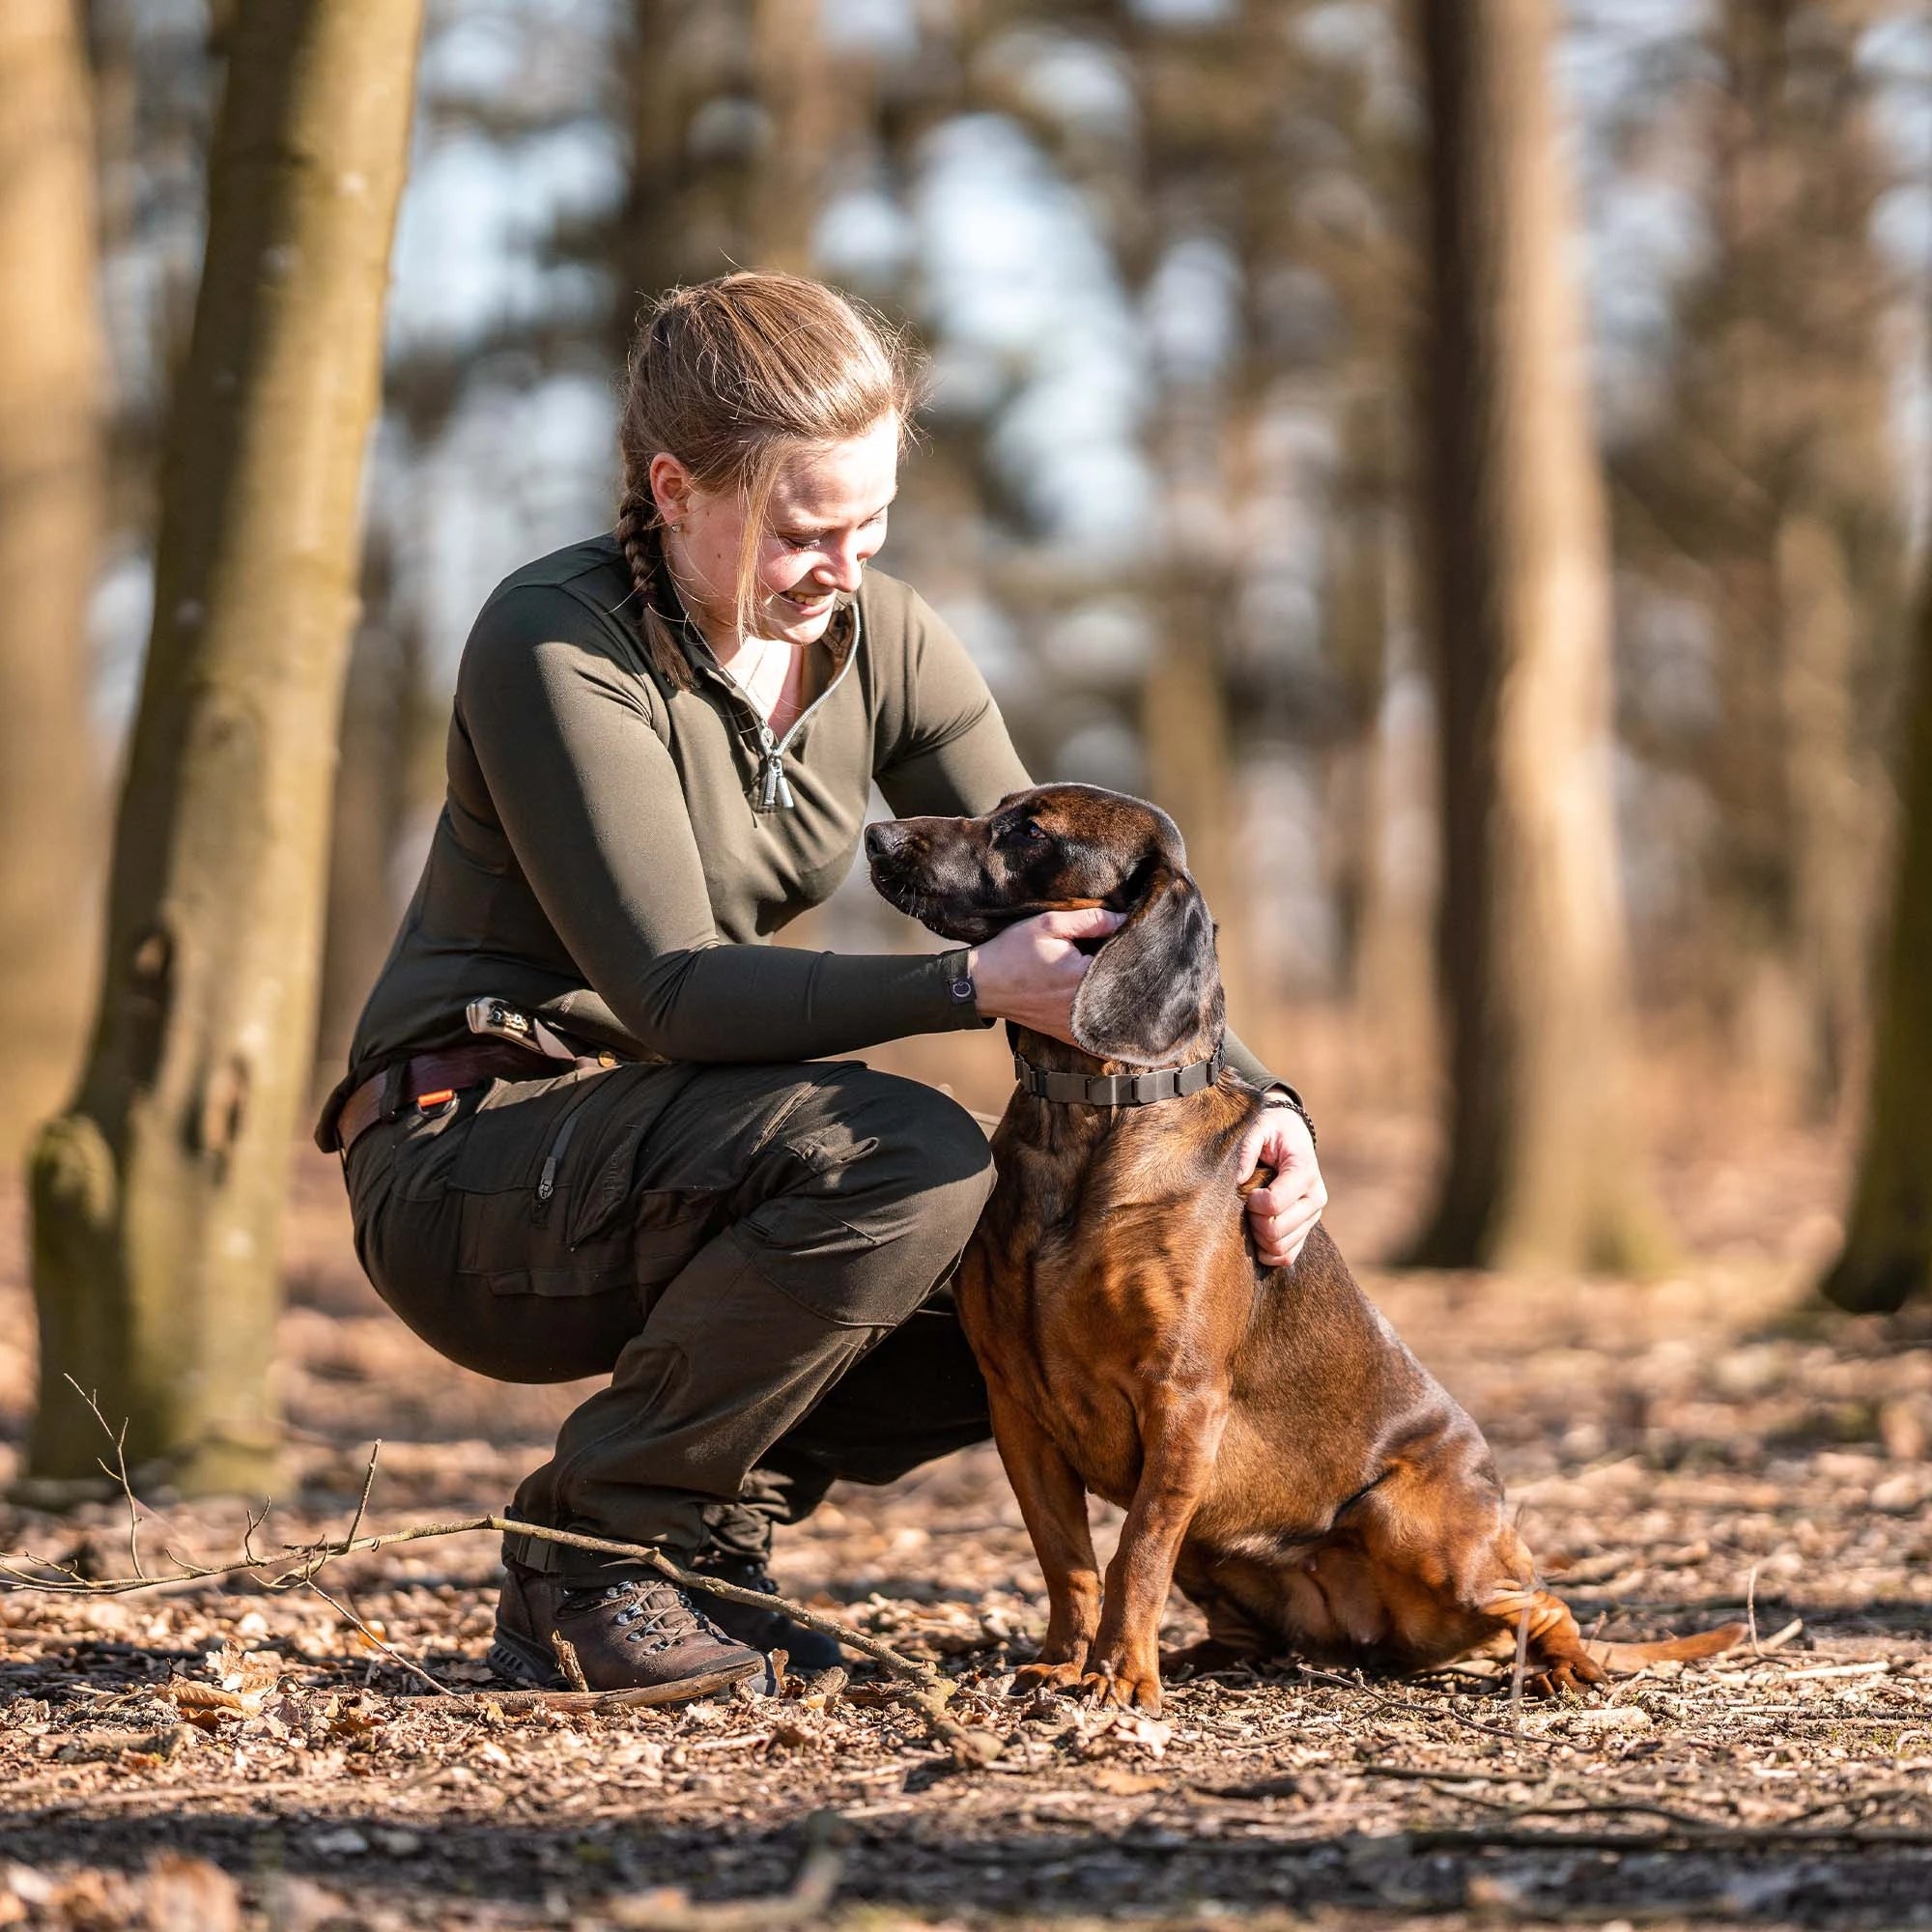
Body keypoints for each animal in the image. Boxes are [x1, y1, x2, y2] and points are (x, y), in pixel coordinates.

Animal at [869, 777, 1747, 1716]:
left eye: (1030, 830)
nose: (878, 836)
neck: (1085, 1121)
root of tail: (1359, 1636)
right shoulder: (1019, 1410)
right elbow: (1069, 1561)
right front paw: (1066, 1663)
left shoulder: (1181, 1401)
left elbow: (1133, 1555)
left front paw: (1117, 1676)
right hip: (1218, 1536)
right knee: (1244, 1626)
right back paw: (1200, 1659)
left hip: (1412, 1531)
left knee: (1544, 1603)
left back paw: (1564, 1669)